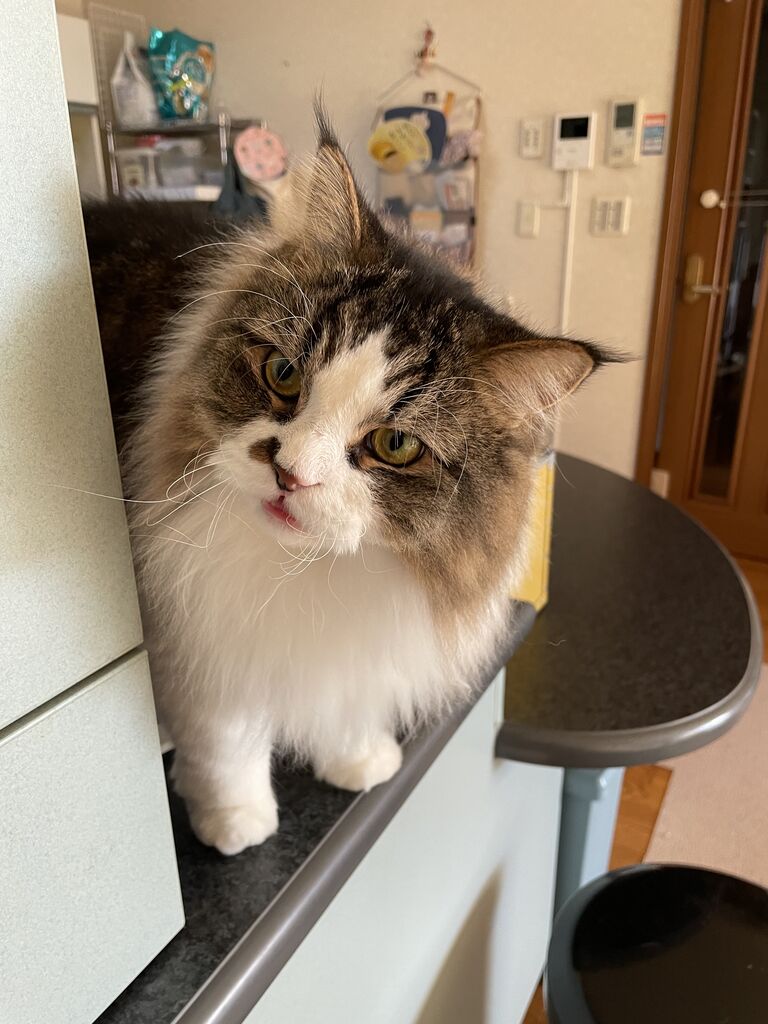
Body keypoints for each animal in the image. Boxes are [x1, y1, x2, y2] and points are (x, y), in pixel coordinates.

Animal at [85, 113, 611, 855]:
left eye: (395, 445)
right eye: (283, 374)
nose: (289, 473)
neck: (314, 574)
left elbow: (345, 699)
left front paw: (357, 757)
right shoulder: (201, 622)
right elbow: (225, 733)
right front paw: (235, 818)